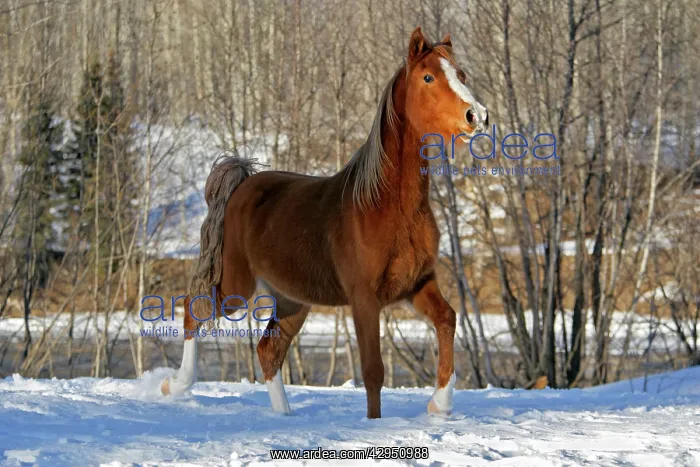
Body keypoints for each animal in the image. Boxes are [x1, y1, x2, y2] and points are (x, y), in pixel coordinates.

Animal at [160, 26, 488, 419]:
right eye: (428, 77)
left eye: (462, 75)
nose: (477, 116)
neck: (384, 207)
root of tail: (241, 183)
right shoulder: (364, 299)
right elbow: (373, 372)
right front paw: (376, 423)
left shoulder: (418, 284)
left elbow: (447, 319)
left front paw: (439, 405)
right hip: (236, 285)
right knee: (194, 310)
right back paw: (174, 386)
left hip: (292, 300)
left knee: (268, 350)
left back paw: (284, 415)